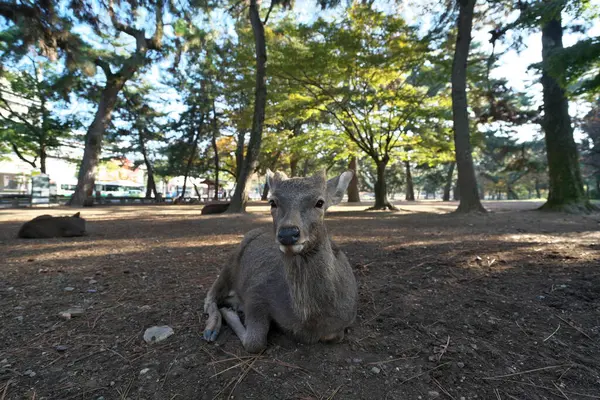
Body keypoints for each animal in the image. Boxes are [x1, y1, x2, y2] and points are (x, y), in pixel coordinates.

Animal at [204, 169, 358, 354]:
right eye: (272, 202)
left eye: (320, 202)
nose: (288, 233)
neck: (308, 322)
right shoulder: (256, 291)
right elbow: (254, 342)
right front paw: (229, 312)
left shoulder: (344, 323)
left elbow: (336, 336)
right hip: (231, 261)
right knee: (210, 296)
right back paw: (211, 329)